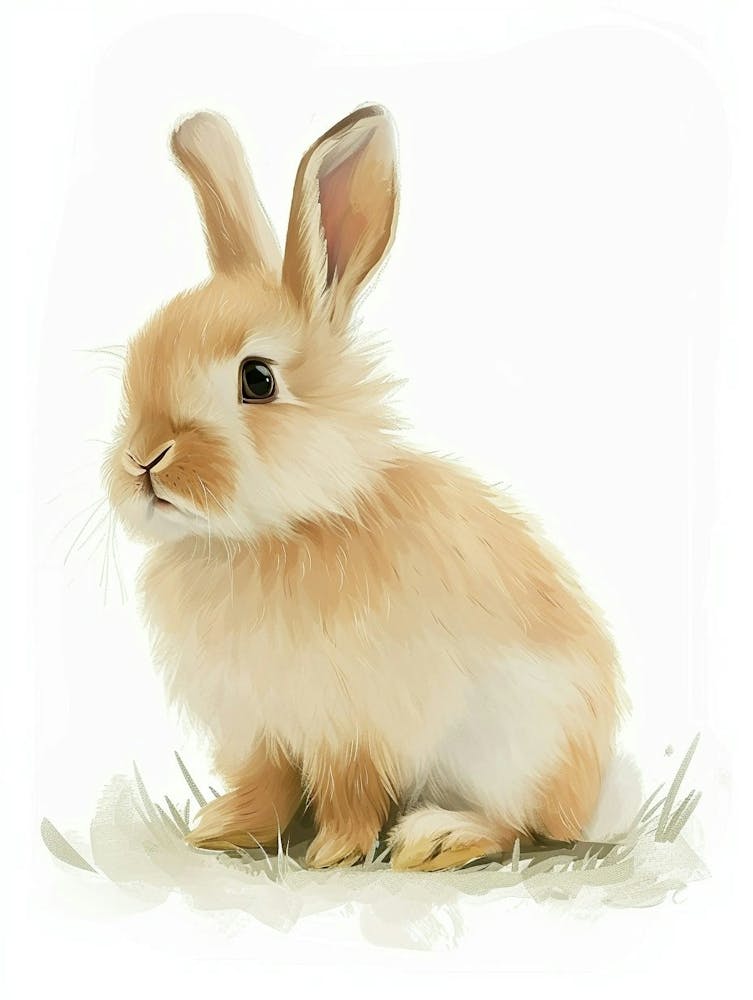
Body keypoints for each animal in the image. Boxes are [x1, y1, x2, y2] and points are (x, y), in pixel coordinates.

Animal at [103, 104, 629, 871]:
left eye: (257, 379)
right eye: (135, 366)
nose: (143, 459)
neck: (268, 535)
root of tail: (586, 795)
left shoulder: (352, 722)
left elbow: (348, 789)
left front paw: (332, 854)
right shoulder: (258, 725)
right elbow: (266, 783)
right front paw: (223, 829)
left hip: (519, 745)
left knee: (519, 825)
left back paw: (437, 838)